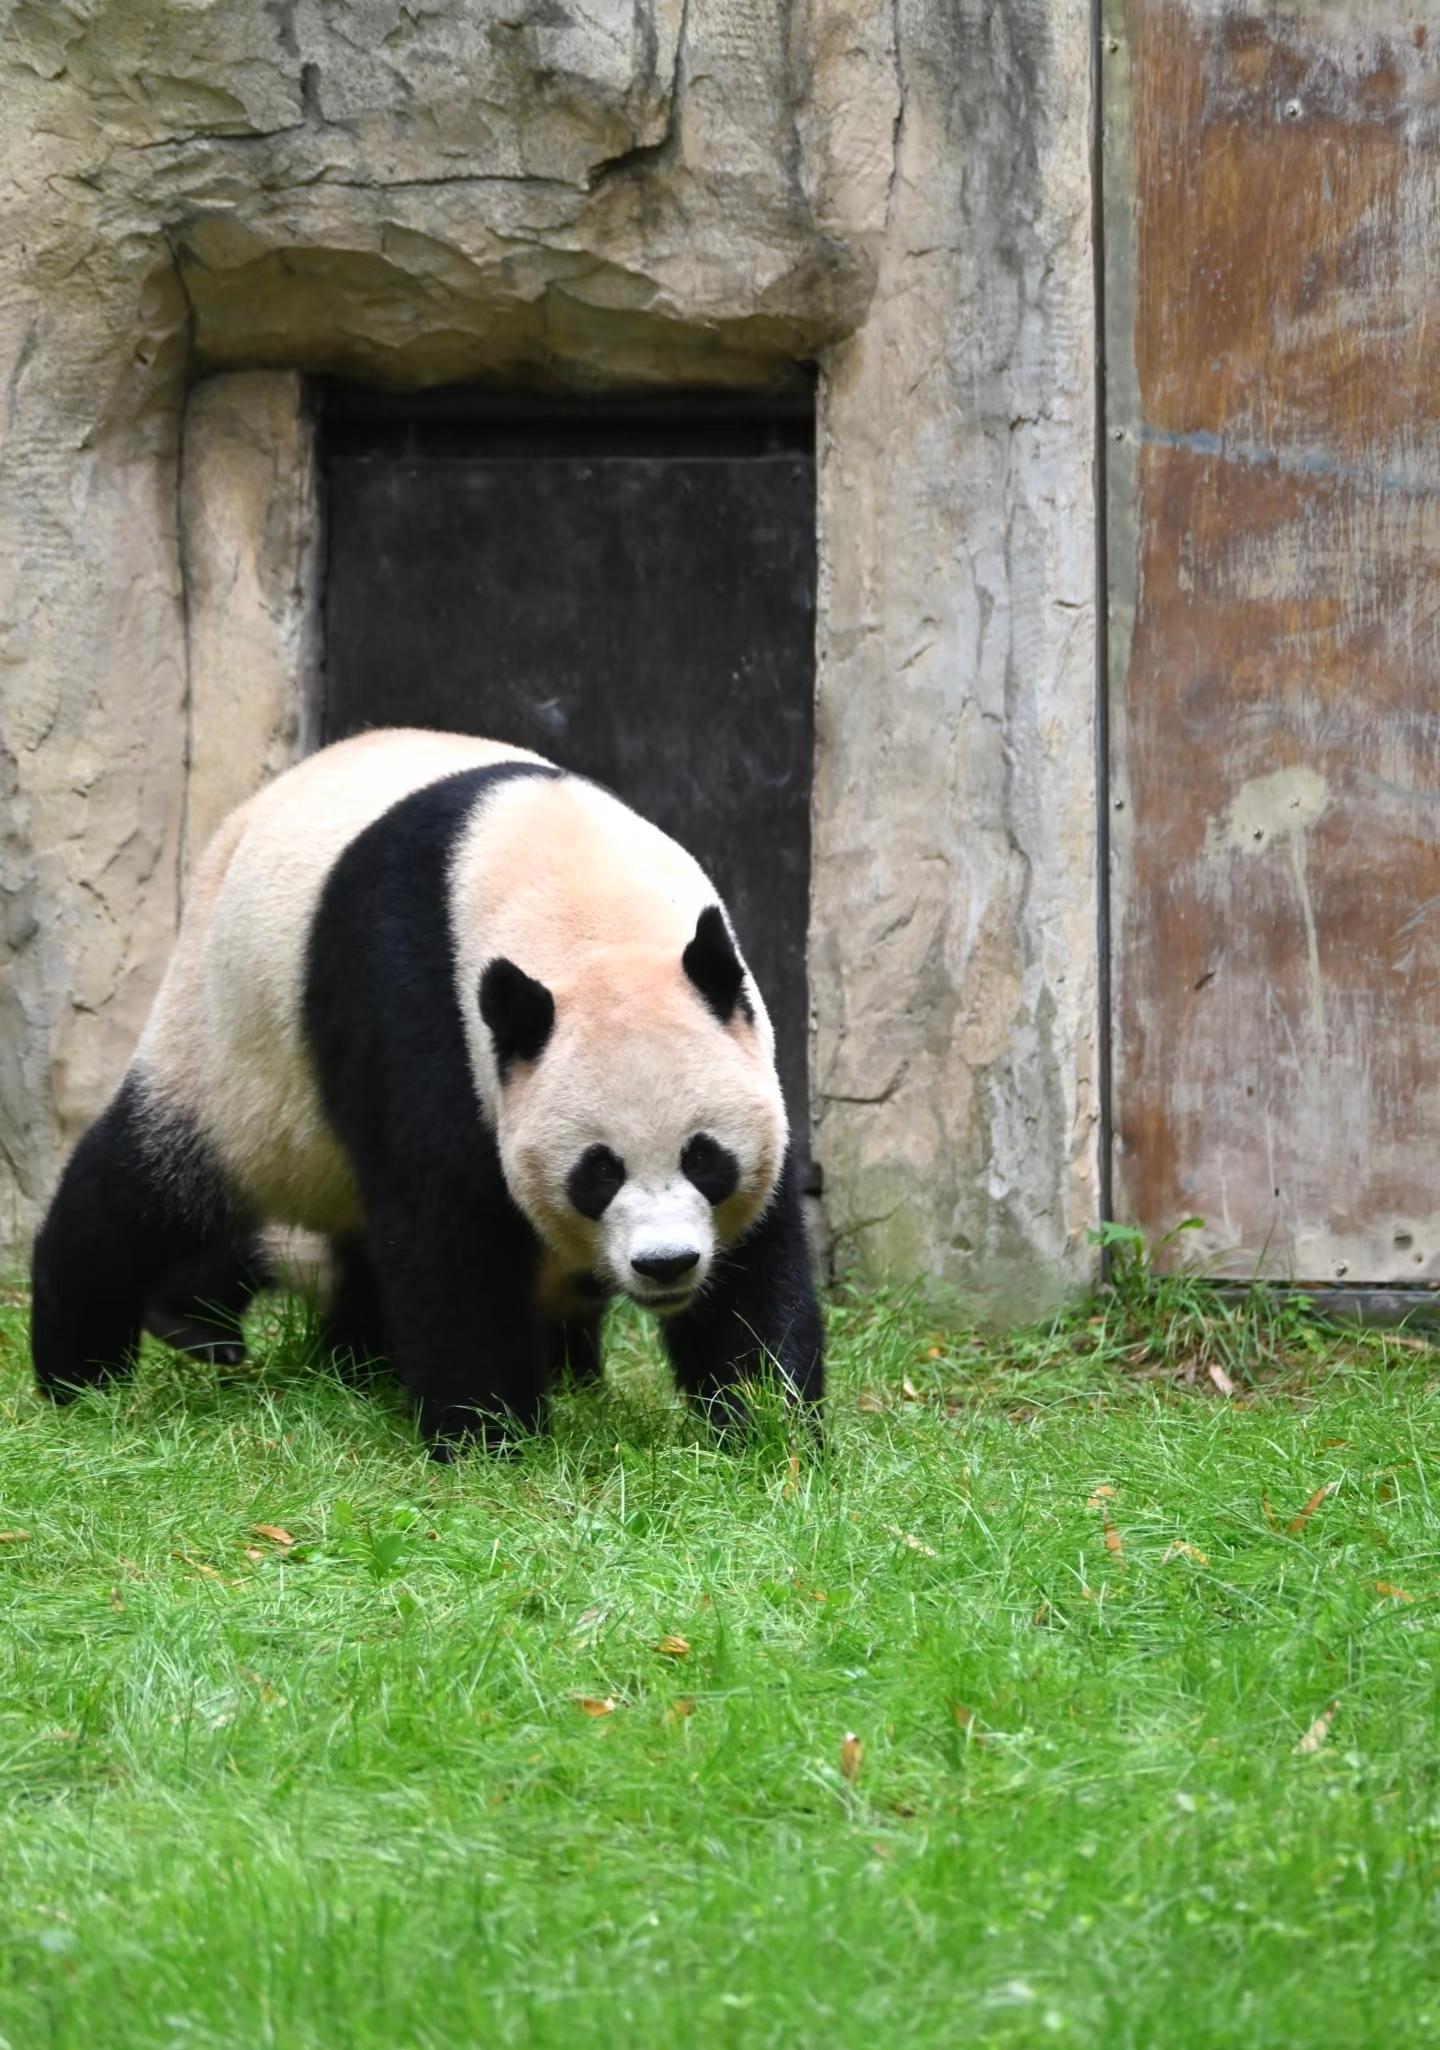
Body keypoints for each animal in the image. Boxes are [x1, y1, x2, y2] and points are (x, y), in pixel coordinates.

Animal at [29, 729, 824, 1454]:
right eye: (598, 1172)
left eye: (705, 1158)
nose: (666, 1264)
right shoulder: (419, 997)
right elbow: (445, 1224)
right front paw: (489, 1436)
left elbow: (757, 1257)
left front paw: (765, 1424)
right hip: (229, 1047)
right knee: (139, 1194)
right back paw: (82, 1374)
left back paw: (371, 1369)